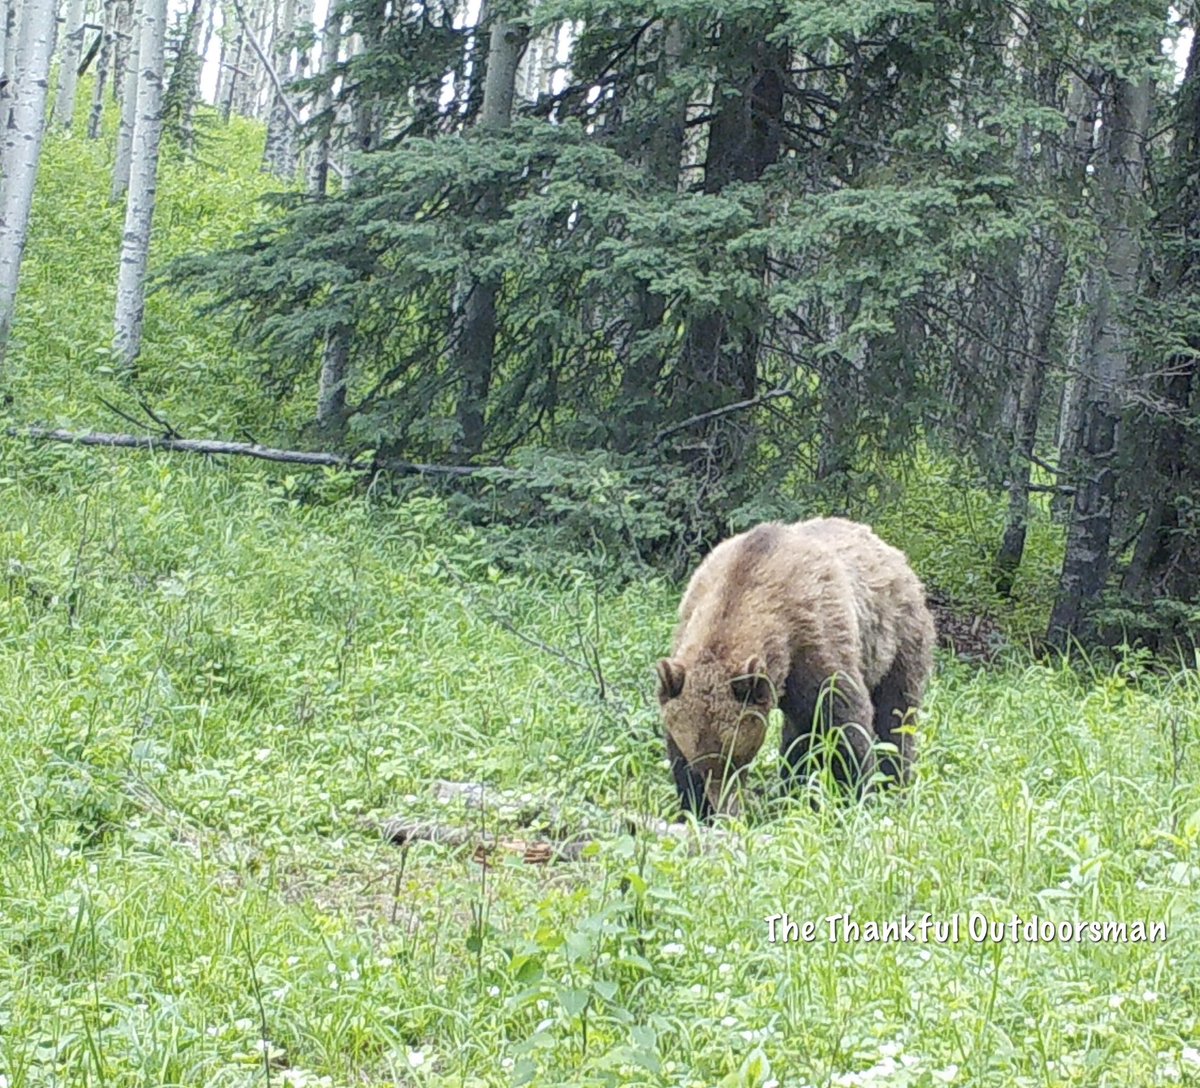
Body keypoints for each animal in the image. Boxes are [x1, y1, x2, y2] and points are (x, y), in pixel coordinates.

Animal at [656, 517, 935, 819]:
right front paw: (696, 810)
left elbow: (845, 723)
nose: (728, 809)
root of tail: (894, 554)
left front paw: (853, 797)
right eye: (700, 762)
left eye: (737, 758)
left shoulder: (815, 642)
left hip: (898, 640)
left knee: (894, 716)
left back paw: (892, 783)